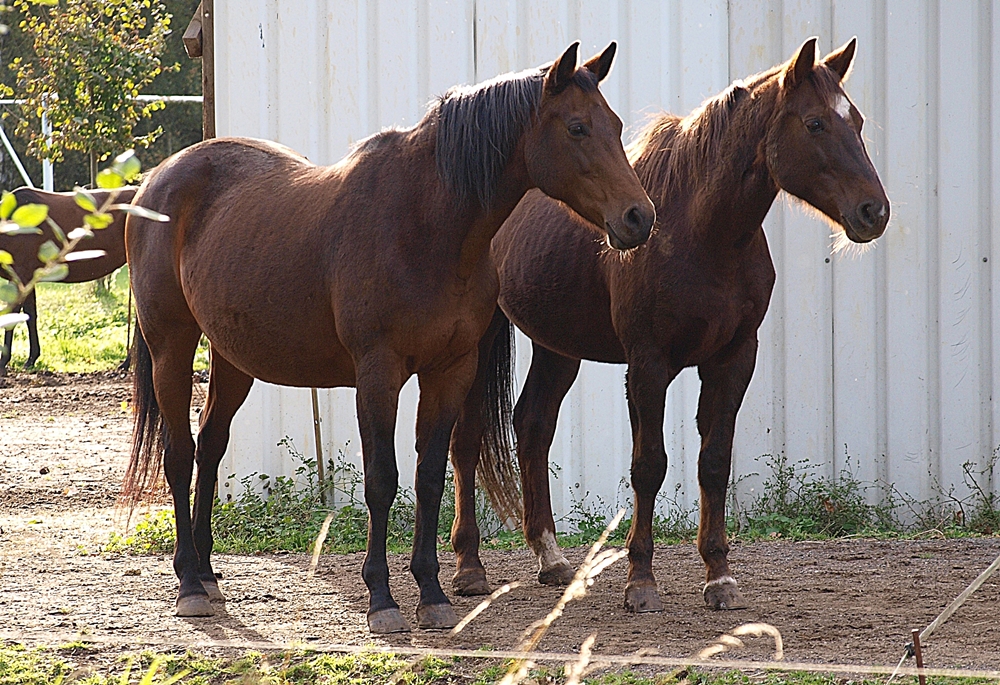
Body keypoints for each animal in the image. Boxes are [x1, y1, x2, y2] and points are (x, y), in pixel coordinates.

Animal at [123, 41, 656, 632]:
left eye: (616, 125)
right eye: (578, 128)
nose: (639, 217)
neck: (425, 223)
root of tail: (158, 179)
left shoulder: (450, 369)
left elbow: (430, 475)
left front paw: (433, 594)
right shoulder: (378, 373)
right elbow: (382, 478)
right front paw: (382, 597)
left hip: (233, 357)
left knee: (211, 448)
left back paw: (209, 573)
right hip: (171, 345)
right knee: (179, 453)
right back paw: (190, 583)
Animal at [454, 37, 892, 612]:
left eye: (857, 121)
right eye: (815, 123)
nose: (874, 212)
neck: (702, 232)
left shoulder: (733, 359)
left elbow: (714, 462)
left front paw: (719, 577)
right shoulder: (649, 363)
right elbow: (649, 466)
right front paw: (640, 581)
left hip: (559, 346)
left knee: (532, 426)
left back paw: (551, 559)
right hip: (480, 340)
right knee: (466, 439)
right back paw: (468, 568)